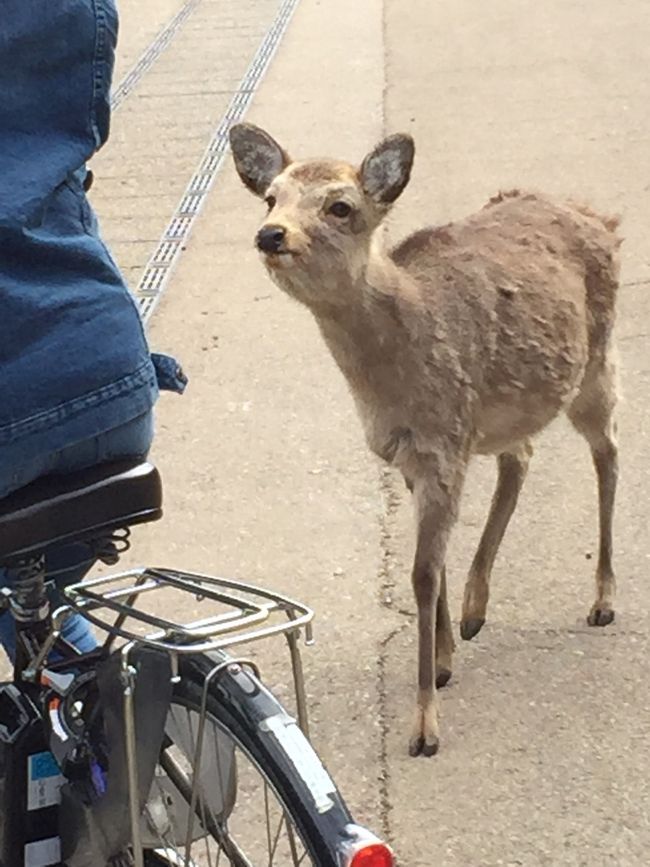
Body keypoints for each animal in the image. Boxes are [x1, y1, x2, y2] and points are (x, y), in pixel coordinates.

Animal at [229, 122, 621, 757]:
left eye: (341, 206)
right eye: (271, 197)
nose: (271, 234)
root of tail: (597, 215)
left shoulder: (442, 441)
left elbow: (420, 573)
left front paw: (424, 726)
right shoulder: (410, 453)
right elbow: (430, 566)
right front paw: (443, 658)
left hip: (596, 361)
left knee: (608, 451)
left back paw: (603, 600)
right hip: (508, 408)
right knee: (522, 455)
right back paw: (474, 610)